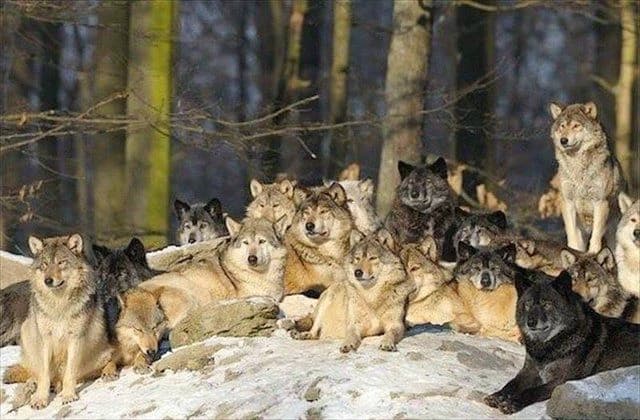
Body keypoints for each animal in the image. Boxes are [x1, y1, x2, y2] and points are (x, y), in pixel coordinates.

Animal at [3, 235, 114, 409]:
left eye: (61, 262)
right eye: (45, 264)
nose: (48, 280)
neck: (59, 306)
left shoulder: (76, 338)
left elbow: (70, 373)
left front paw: (68, 395)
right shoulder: (45, 339)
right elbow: (44, 374)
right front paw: (40, 398)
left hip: (101, 347)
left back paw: (108, 372)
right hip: (26, 331)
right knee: (35, 372)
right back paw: (33, 385)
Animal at [485, 270, 640, 414]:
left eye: (546, 304)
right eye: (528, 304)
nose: (530, 322)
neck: (545, 349)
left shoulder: (561, 381)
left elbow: (532, 391)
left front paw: (511, 402)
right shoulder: (528, 372)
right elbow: (512, 384)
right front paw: (498, 395)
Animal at [548, 101, 624, 253]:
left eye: (576, 126)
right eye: (562, 126)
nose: (563, 140)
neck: (578, 167)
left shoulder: (601, 202)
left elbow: (595, 239)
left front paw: (594, 254)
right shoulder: (567, 202)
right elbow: (572, 237)